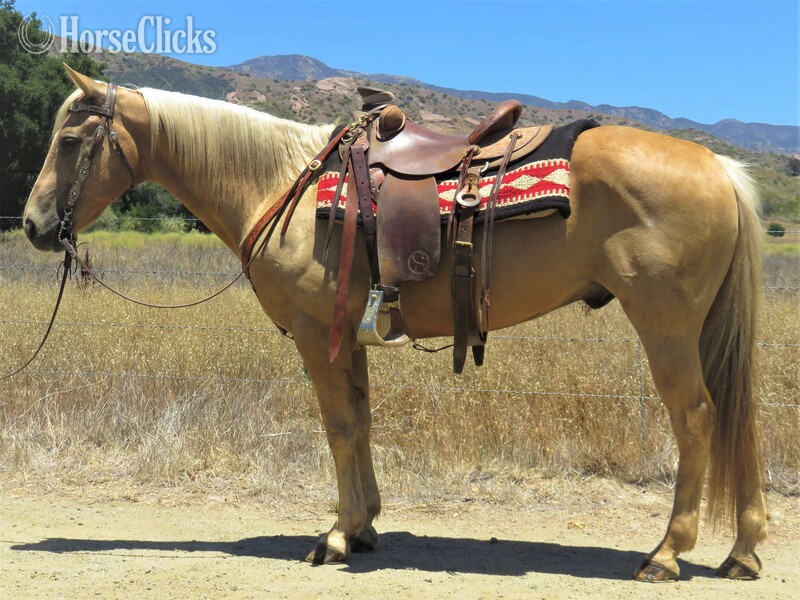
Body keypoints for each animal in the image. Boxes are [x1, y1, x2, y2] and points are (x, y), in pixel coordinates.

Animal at [22, 65, 766, 581]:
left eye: (69, 139)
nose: (32, 225)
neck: (283, 185)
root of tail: (720, 168)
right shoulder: (347, 335)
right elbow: (360, 421)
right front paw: (365, 527)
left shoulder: (317, 334)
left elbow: (339, 426)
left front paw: (337, 535)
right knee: (735, 416)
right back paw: (744, 551)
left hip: (666, 325)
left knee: (698, 417)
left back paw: (667, 553)